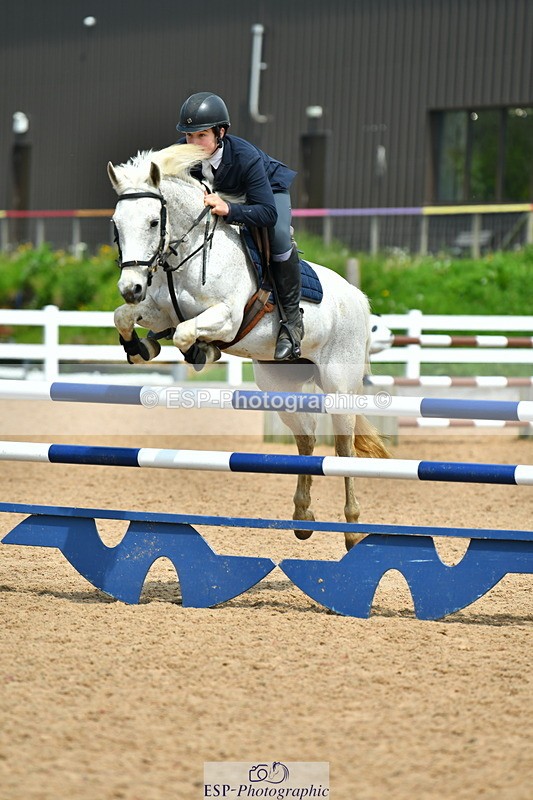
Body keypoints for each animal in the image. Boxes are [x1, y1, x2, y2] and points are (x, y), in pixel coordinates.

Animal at [107, 144, 390, 550]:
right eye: (116, 224)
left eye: (152, 222)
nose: (130, 287)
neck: (188, 253)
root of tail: (356, 296)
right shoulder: (159, 311)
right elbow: (128, 319)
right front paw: (141, 347)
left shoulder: (227, 317)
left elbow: (185, 334)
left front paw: (203, 351)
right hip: (279, 387)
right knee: (307, 438)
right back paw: (302, 517)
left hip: (339, 383)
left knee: (344, 448)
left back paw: (352, 530)